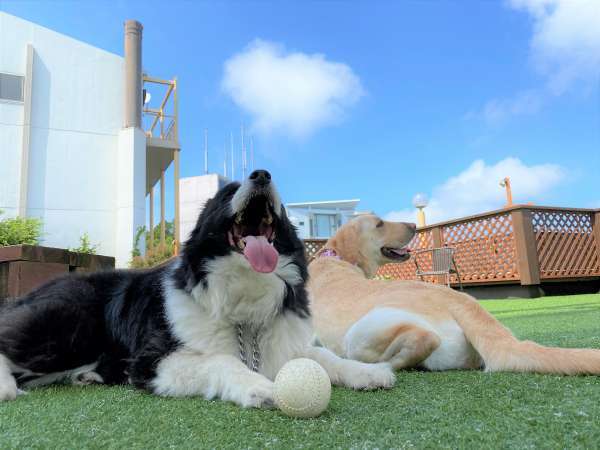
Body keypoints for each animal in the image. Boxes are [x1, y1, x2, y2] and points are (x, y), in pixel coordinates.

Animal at [0, 171, 394, 406]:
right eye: (228, 192)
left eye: (278, 197)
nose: (261, 174)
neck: (243, 296)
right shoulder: (152, 361)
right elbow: (220, 359)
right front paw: (261, 386)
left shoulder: (284, 343)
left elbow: (324, 356)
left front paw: (367, 372)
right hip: (70, 323)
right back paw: (6, 387)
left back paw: (88, 375)